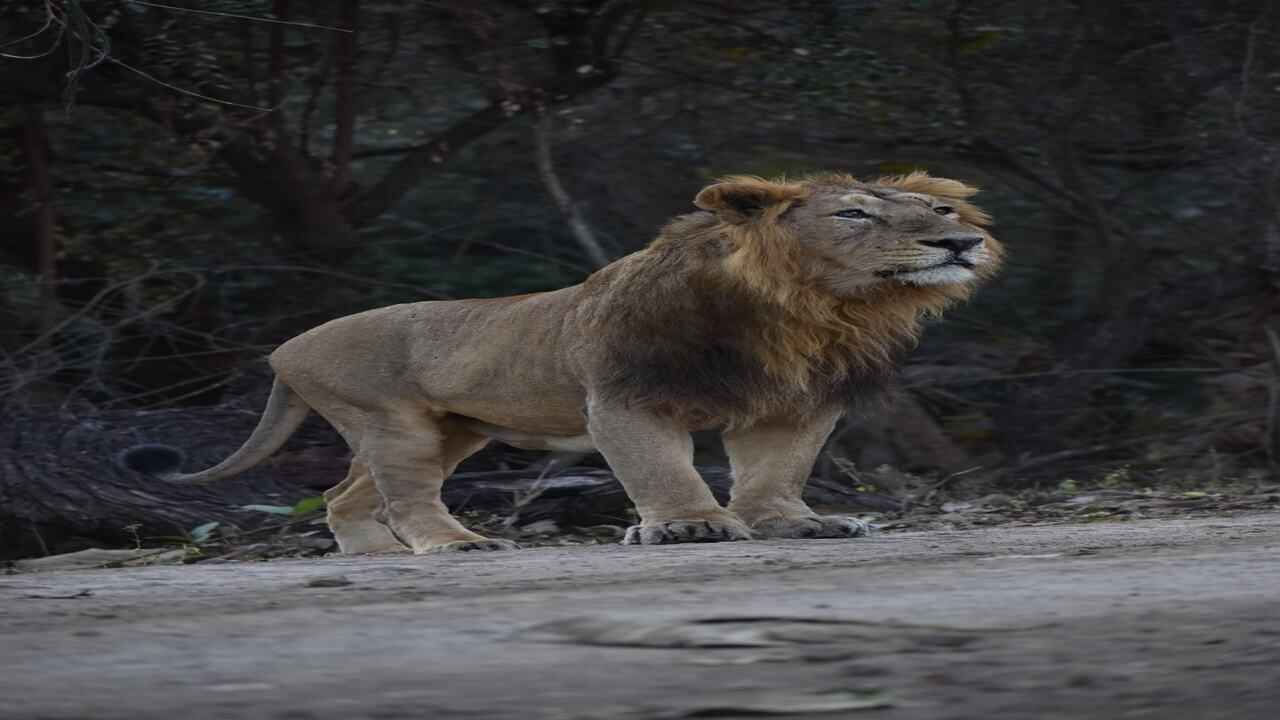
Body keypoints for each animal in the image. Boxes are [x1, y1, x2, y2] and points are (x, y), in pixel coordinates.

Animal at [121, 172, 1001, 554]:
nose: (959, 240)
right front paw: (687, 525)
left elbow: (775, 472)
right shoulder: (623, 397)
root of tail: (285, 347)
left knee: (345, 495)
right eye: (854, 214)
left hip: (448, 431)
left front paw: (793, 523)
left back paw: (378, 557)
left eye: (940, 206)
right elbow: (660, 468)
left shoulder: (794, 406)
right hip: (393, 422)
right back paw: (454, 545)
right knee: (404, 495)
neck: (806, 311)